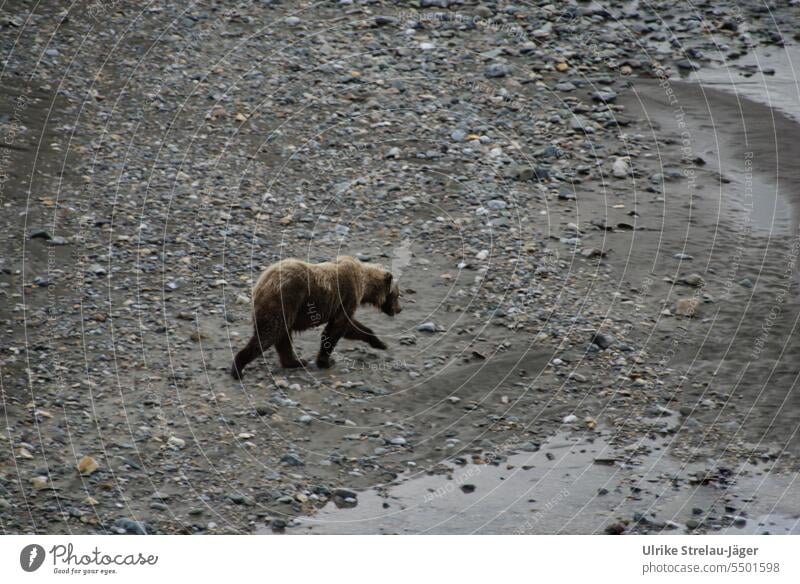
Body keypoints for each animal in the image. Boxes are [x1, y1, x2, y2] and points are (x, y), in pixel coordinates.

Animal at [231, 256, 404, 378]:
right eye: (397, 295)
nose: (400, 309)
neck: (365, 284)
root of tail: (260, 284)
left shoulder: (342, 305)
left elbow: (351, 327)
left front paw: (380, 343)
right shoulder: (347, 297)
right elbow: (338, 328)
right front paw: (326, 361)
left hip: (286, 310)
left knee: (283, 337)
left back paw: (296, 362)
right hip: (284, 301)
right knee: (268, 334)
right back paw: (238, 368)